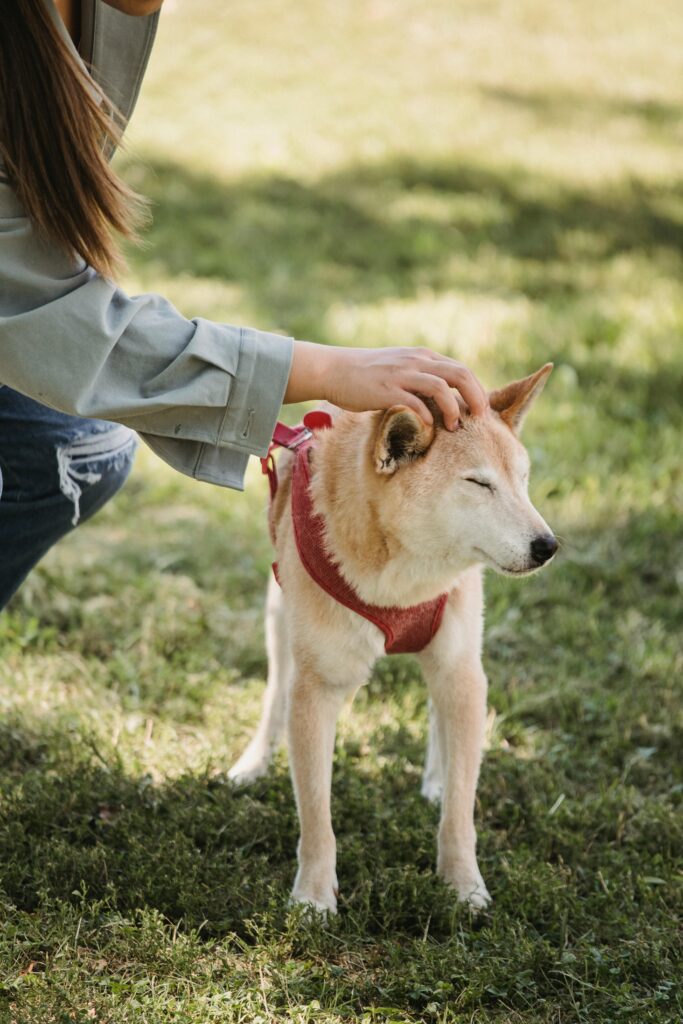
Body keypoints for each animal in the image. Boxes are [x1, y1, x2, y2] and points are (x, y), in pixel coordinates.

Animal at [227, 364, 557, 909]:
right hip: (279, 617)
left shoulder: (462, 670)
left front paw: (463, 886)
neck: (404, 581)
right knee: (276, 691)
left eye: (524, 480)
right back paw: (254, 762)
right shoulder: (317, 690)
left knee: (441, 713)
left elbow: (461, 813)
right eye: (478, 483)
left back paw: (436, 778)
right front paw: (313, 898)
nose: (548, 546)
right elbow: (316, 817)